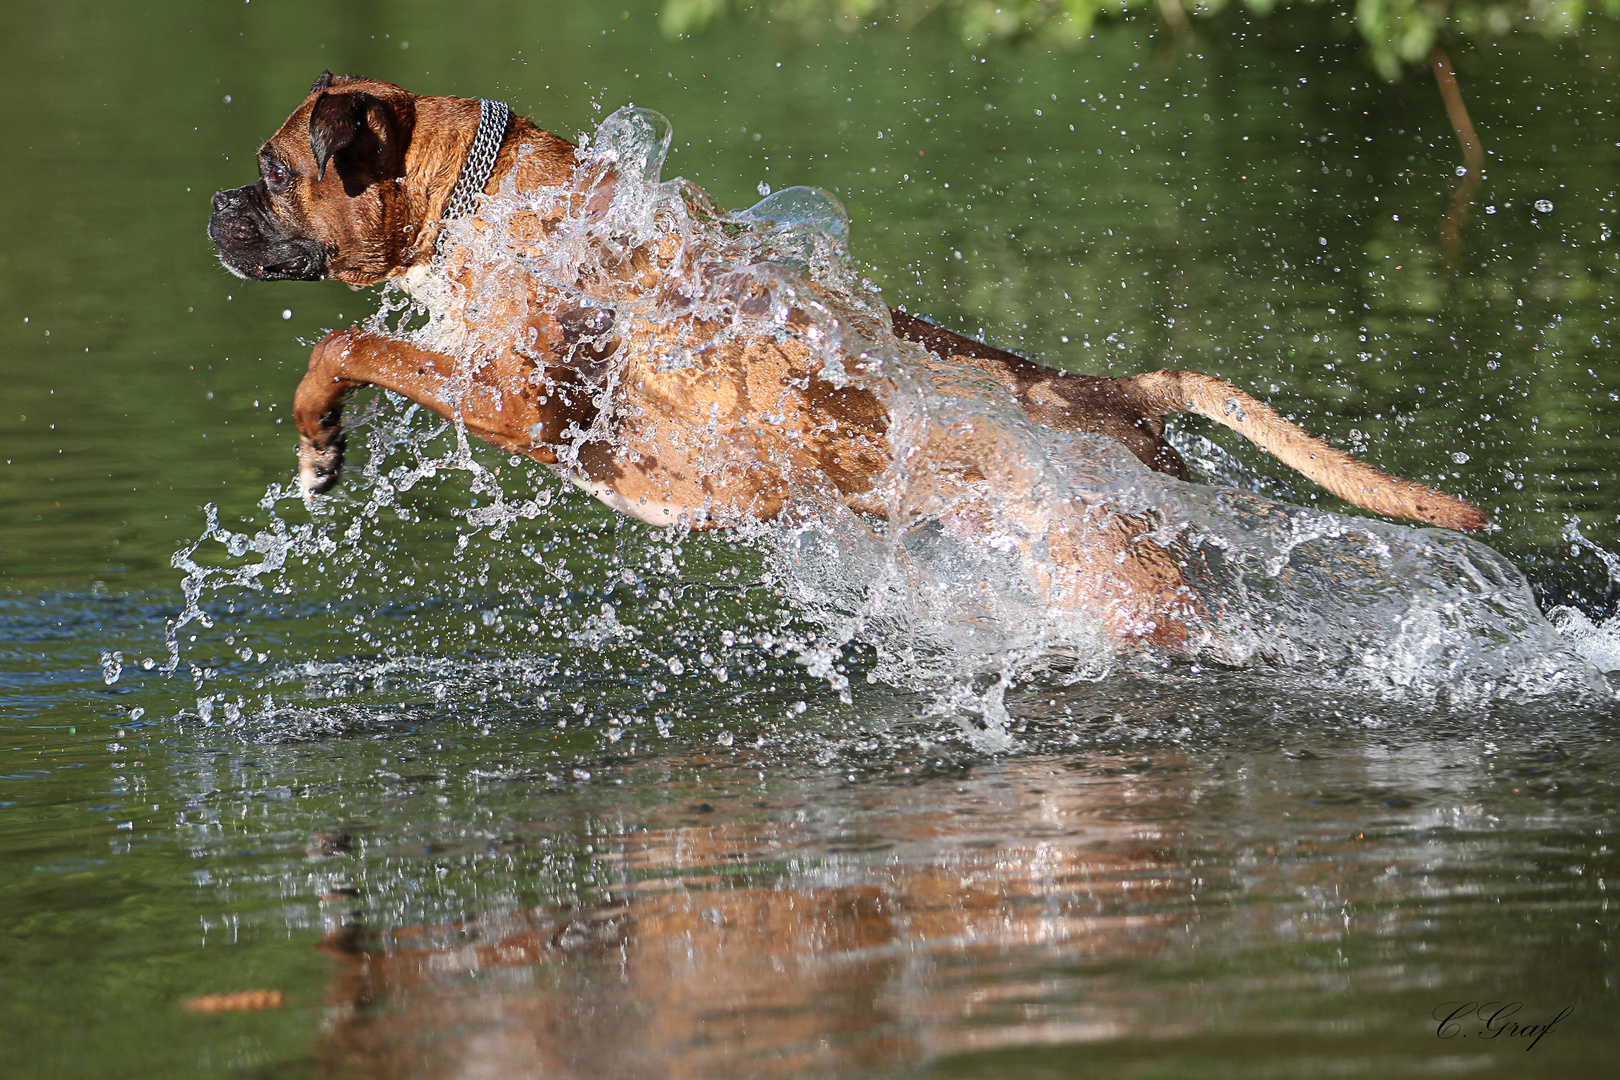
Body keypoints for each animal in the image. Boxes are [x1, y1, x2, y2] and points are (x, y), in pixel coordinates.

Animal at [208, 78, 1483, 650]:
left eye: (272, 172)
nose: (215, 208)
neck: (479, 201)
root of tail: (1108, 393)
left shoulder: (517, 397)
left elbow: (343, 340)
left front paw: (320, 444)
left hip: (1124, 589)